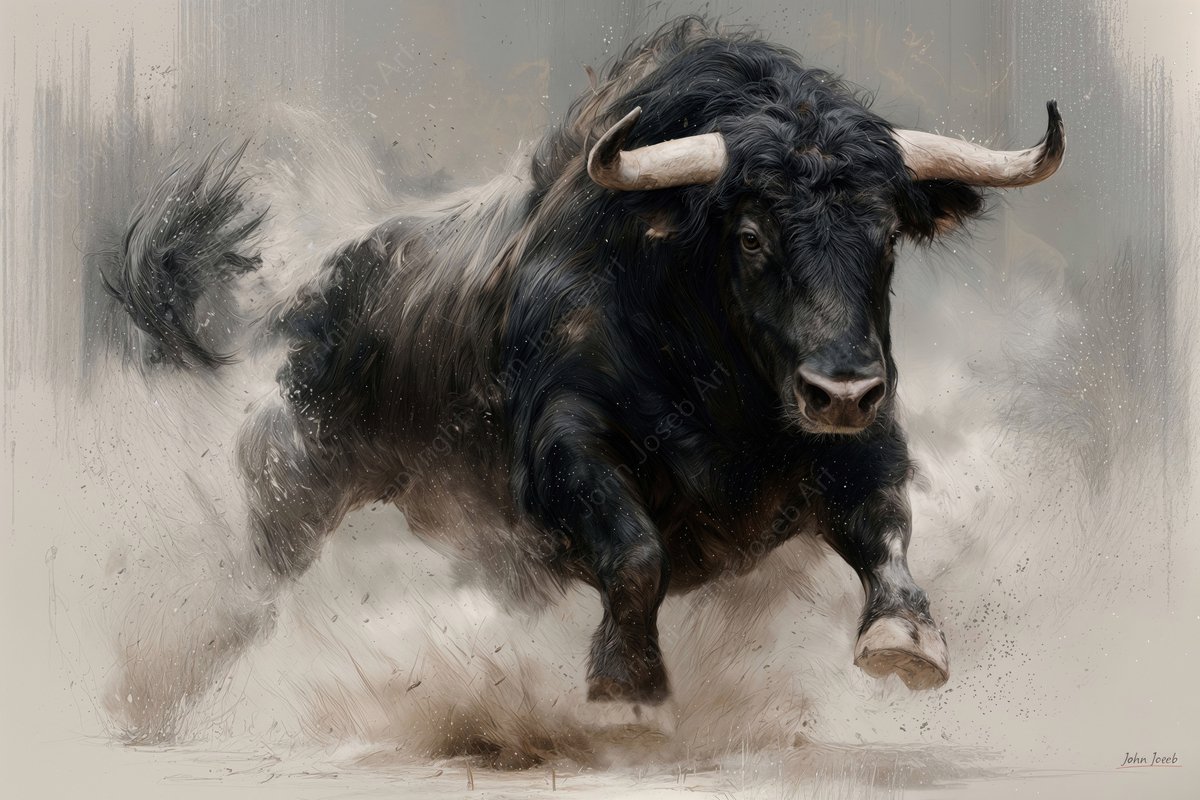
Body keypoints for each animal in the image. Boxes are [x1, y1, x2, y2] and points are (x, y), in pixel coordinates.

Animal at [106, 18, 1064, 728]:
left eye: (887, 234)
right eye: (751, 235)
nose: (840, 391)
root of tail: (295, 301)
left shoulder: (863, 439)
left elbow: (883, 523)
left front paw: (907, 642)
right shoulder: (562, 450)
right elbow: (634, 552)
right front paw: (628, 687)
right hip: (291, 499)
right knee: (257, 592)